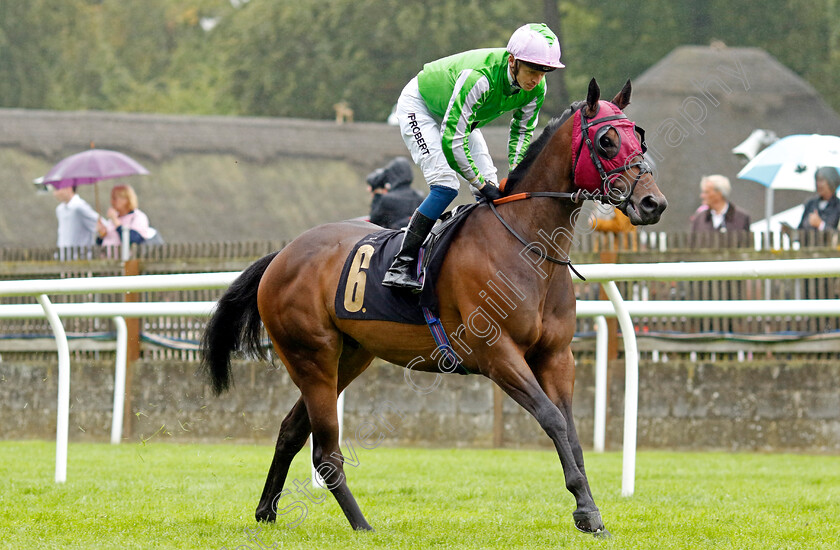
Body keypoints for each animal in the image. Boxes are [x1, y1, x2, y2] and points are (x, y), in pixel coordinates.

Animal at [200, 78, 668, 540]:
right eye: (607, 141)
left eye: (639, 137)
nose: (653, 203)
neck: (525, 245)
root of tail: (282, 255)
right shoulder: (497, 354)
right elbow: (552, 420)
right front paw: (586, 511)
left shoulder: (556, 356)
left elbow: (570, 431)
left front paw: (588, 507)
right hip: (310, 356)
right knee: (326, 452)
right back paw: (362, 525)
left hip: (348, 357)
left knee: (291, 431)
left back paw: (266, 512)